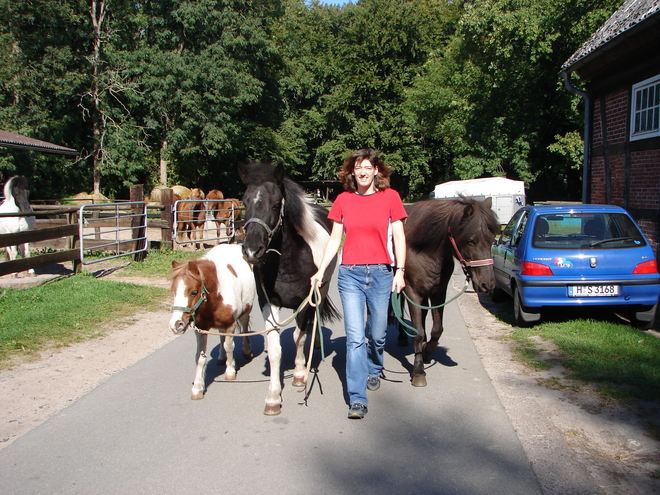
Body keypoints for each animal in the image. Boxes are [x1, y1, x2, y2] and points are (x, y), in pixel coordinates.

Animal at [168, 244, 255, 404]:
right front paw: (197, 388)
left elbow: (229, 346)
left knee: (244, 325)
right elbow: (200, 358)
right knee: (221, 336)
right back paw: (221, 357)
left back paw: (246, 351)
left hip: (246, 309)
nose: (176, 325)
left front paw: (230, 371)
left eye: (193, 292)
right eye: (173, 291)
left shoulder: (230, 324)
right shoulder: (201, 330)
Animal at [238, 162, 340, 414]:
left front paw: (300, 374)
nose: (251, 250)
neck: (287, 262)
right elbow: (275, 350)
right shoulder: (268, 303)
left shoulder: (305, 300)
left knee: (312, 323)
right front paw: (273, 396)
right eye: (244, 202)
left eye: (276, 204)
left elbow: (299, 337)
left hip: (320, 293)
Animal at [400, 197, 498, 388]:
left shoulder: (439, 292)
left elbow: (437, 329)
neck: (423, 250)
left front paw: (427, 350)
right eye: (471, 240)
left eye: (491, 240)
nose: (487, 284)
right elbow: (418, 332)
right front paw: (418, 372)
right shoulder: (412, 291)